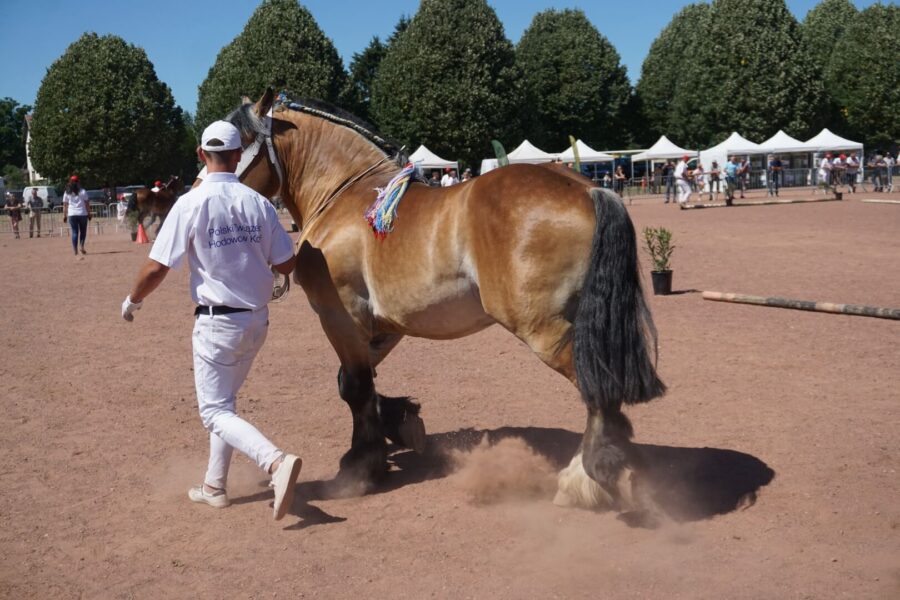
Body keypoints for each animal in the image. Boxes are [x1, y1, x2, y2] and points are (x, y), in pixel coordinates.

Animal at [204, 91, 664, 516]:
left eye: (232, 147)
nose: (198, 189)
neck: (346, 197)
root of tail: (588, 189)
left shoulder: (341, 318)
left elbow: (354, 387)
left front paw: (360, 467)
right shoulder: (384, 326)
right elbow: (356, 383)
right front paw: (401, 422)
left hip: (545, 330)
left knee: (596, 387)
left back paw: (586, 478)